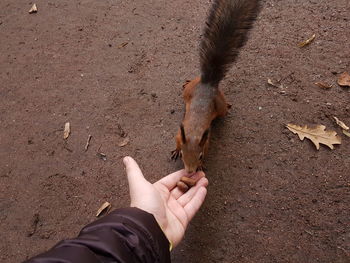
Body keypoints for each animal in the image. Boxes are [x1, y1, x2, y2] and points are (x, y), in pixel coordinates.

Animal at [171, 0, 262, 176]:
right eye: (184, 155)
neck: (193, 132)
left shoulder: (206, 142)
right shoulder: (180, 134)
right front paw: (176, 150)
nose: (190, 172)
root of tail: (208, 82)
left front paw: (200, 165)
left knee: (224, 108)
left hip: (219, 106)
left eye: (200, 156)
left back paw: (228, 105)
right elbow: (177, 141)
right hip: (188, 92)